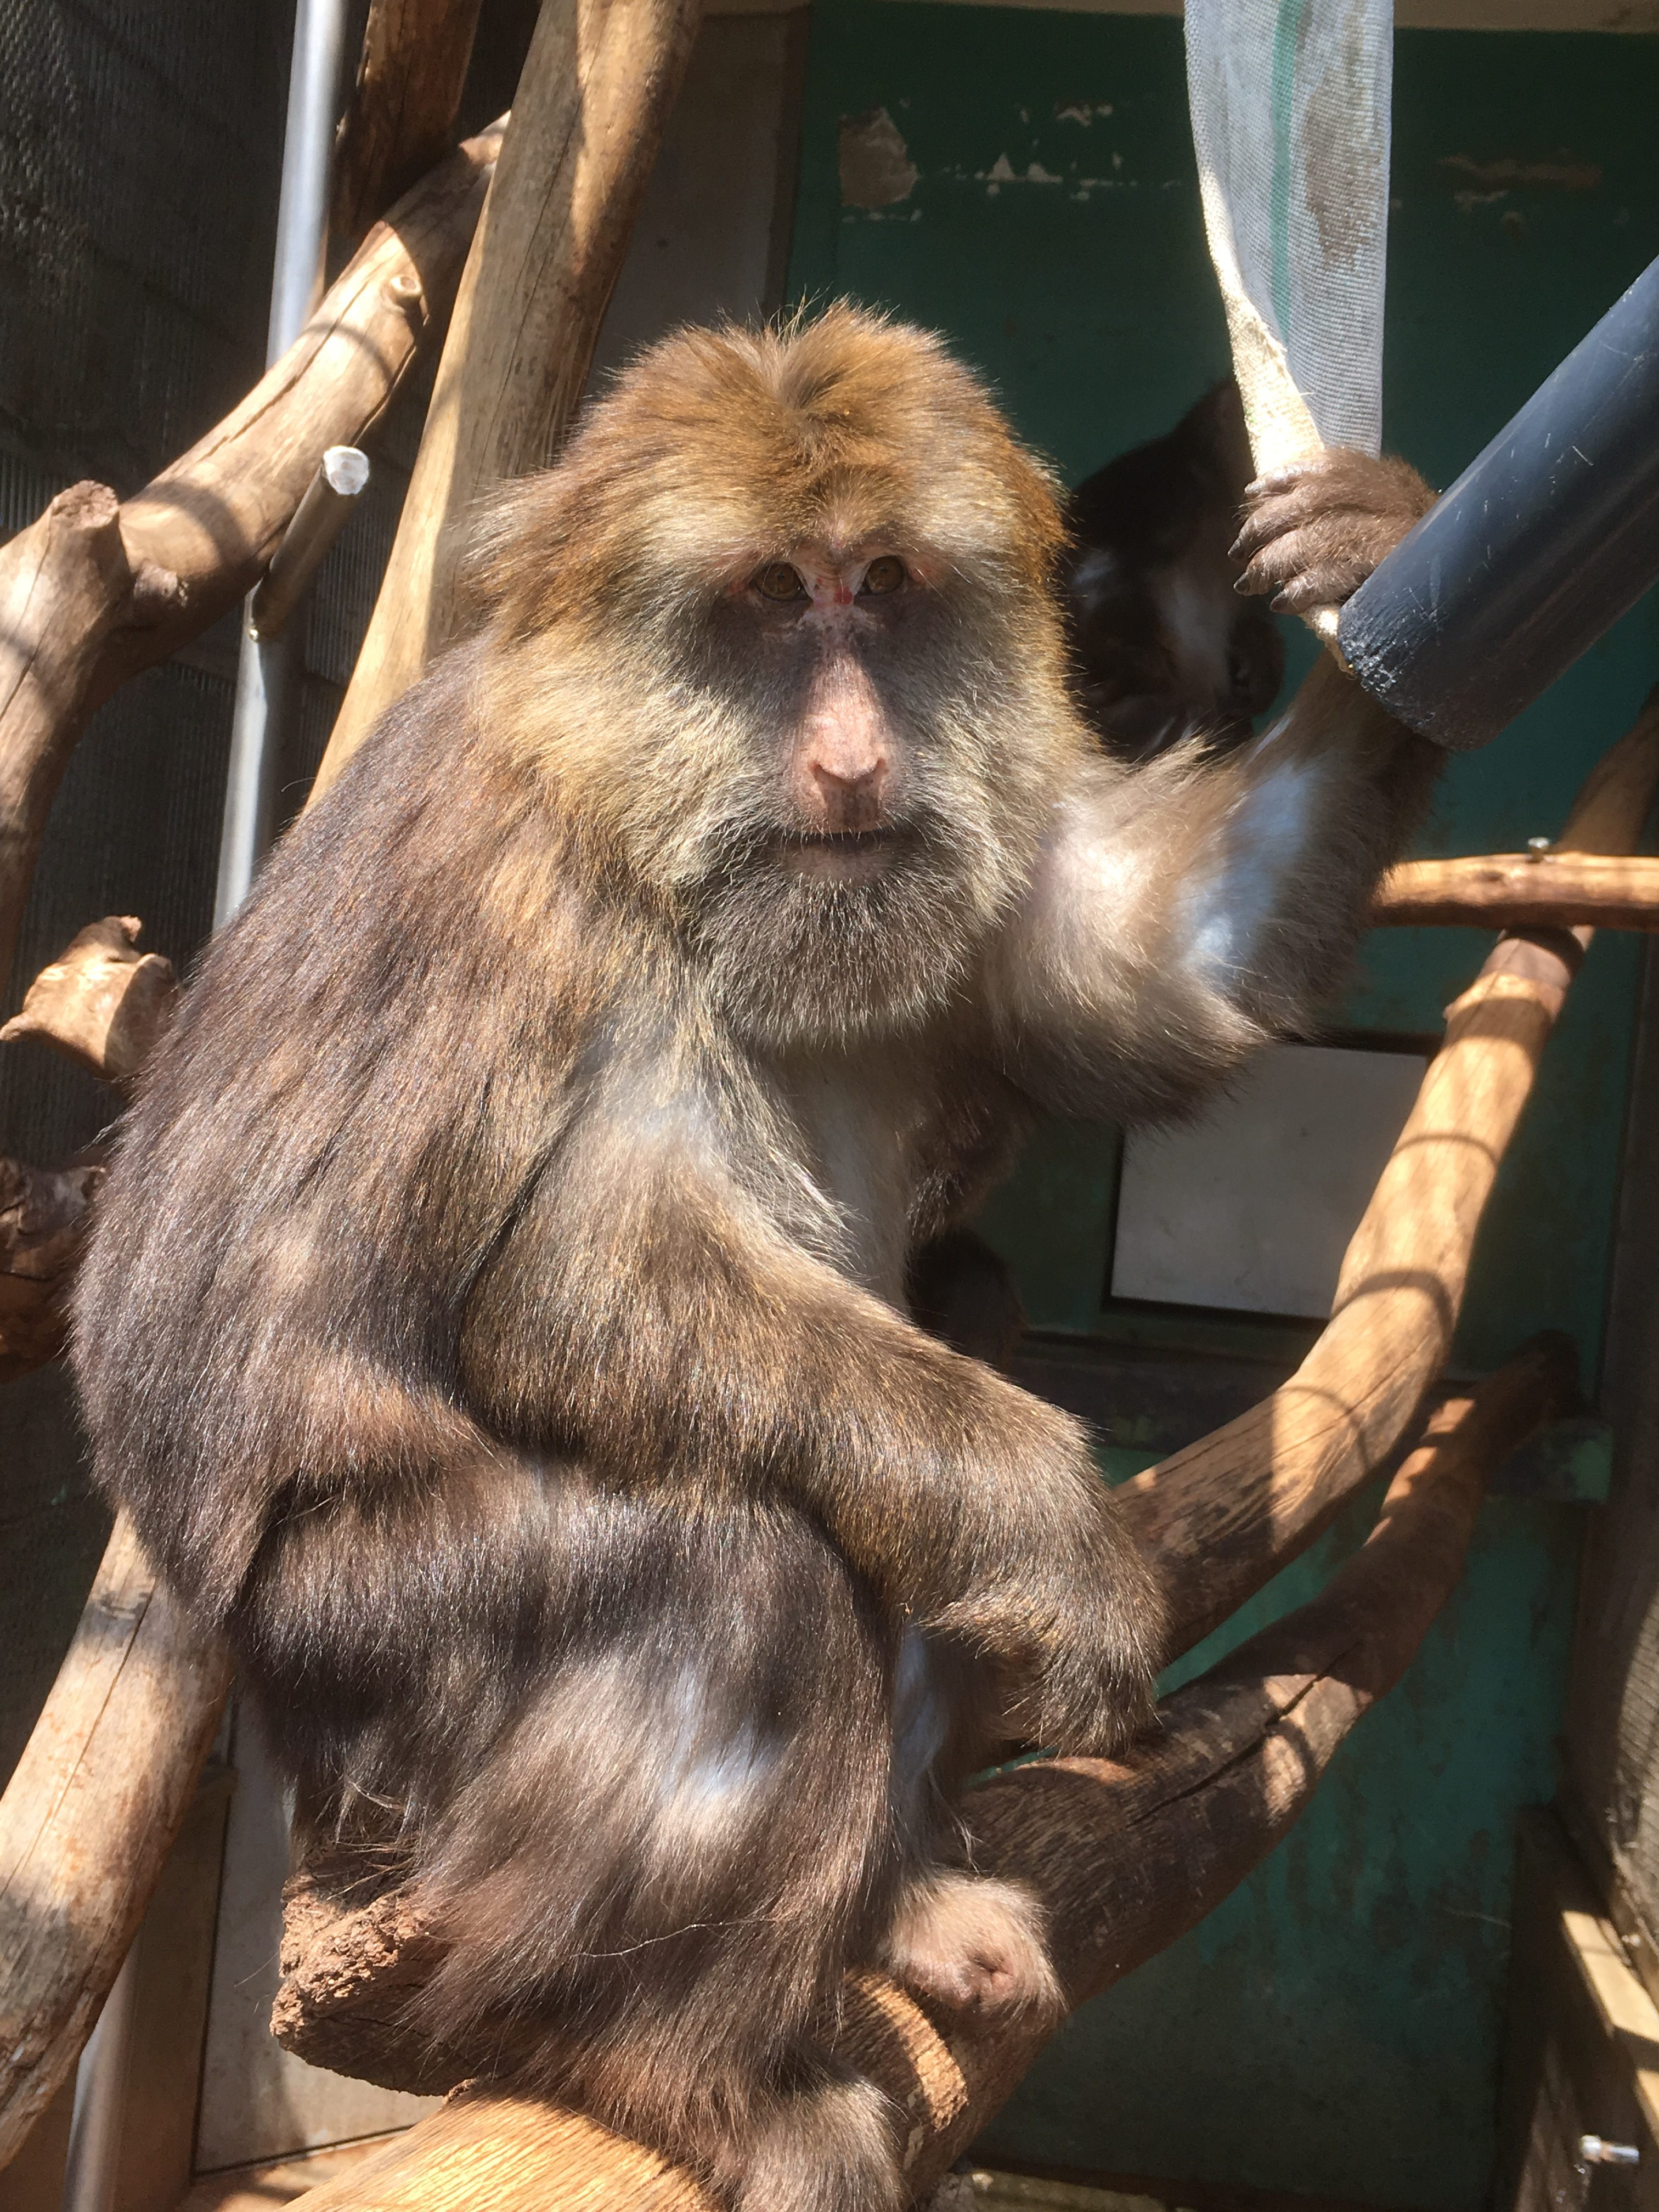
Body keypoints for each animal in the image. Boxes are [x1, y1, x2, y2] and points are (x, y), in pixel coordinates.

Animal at [71, 312, 1433, 2212]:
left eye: (887, 585)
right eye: (774, 601)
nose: (856, 761)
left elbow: (1148, 965)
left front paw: (1385, 564)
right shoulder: (564, 881)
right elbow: (574, 1273)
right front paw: (1052, 1530)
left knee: (947, 1327)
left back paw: (897, 1901)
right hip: (353, 1654)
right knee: (736, 1582)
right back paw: (679, 2070)